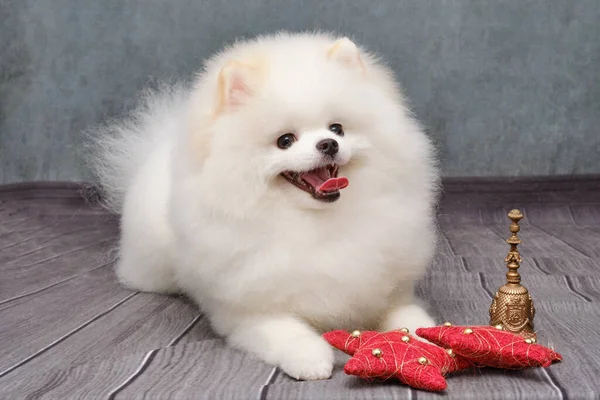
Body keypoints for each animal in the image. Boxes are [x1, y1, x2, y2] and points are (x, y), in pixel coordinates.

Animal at [85, 32, 440, 380]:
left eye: (337, 128)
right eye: (285, 140)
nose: (328, 144)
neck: (314, 222)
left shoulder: (389, 289)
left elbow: (409, 317)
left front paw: (426, 339)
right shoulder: (250, 310)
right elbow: (286, 331)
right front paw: (311, 358)